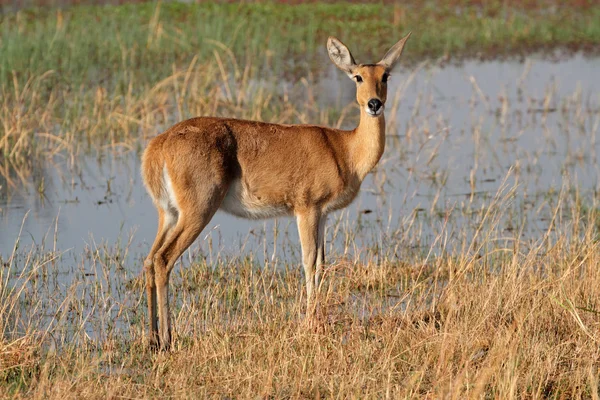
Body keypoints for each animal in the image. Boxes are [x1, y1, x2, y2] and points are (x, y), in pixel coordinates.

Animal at [142, 32, 412, 350]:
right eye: (358, 76)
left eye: (385, 75)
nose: (374, 104)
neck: (344, 149)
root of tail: (158, 146)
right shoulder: (306, 209)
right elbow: (309, 263)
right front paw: (310, 324)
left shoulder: (323, 214)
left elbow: (322, 263)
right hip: (197, 212)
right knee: (164, 259)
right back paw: (168, 339)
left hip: (169, 214)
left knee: (149, 259)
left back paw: (152, 338)